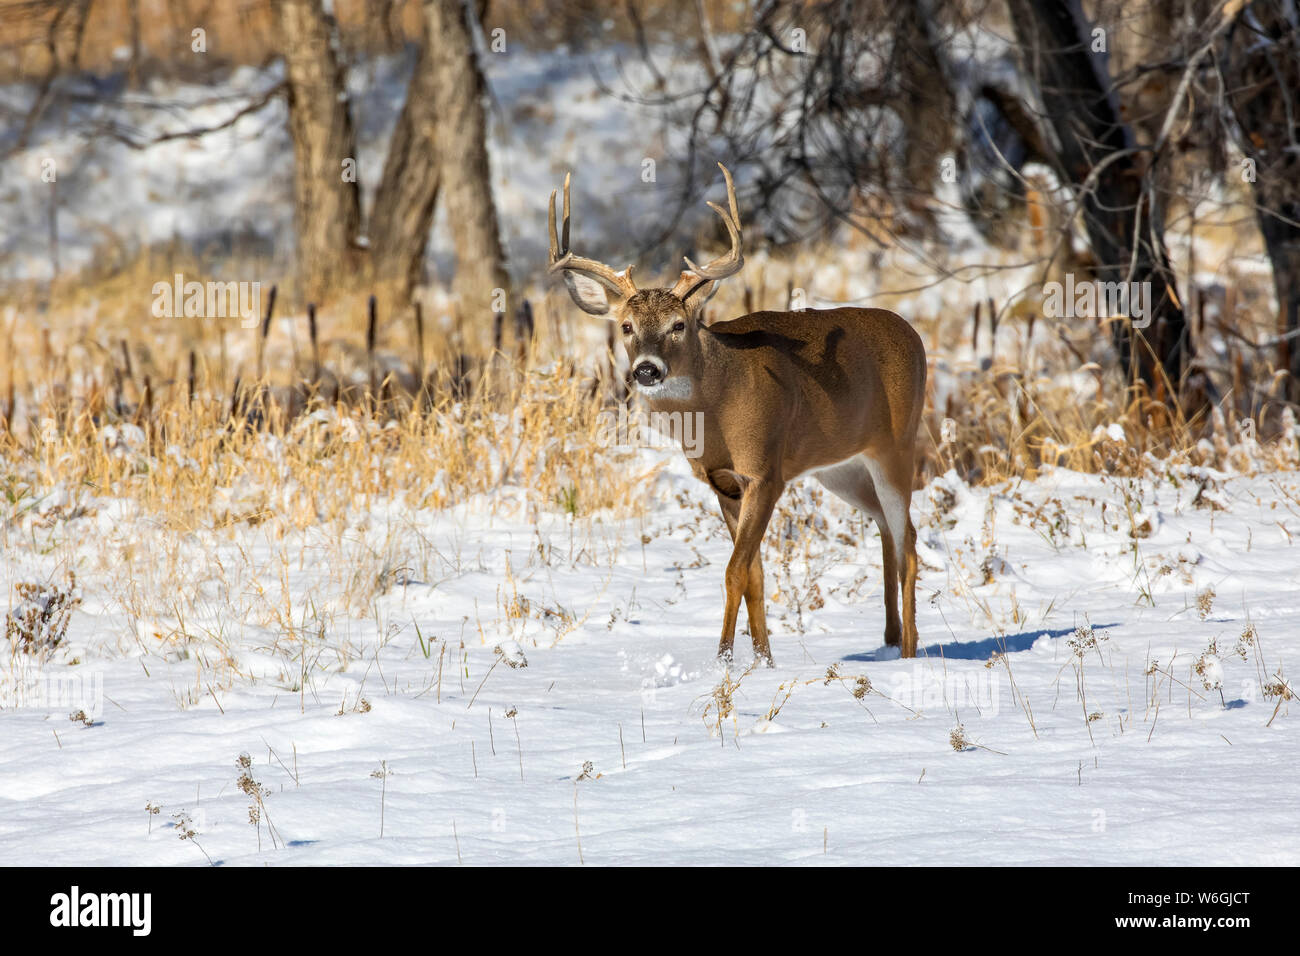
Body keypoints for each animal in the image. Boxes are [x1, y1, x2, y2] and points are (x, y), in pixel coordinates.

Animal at [548, 162, 925, 658]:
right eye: (626, 327)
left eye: (679, 325)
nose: (647, 369)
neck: (716, 412)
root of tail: (916, 337)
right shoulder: (722, 483)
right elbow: (755, 575)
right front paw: (762, 660)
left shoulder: (765, 472)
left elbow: (734, 571)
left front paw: (723, 658)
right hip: (841, 467)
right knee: (885, 527)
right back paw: (890, 639)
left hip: (898, 444)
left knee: (910, 542)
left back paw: (909, 652)